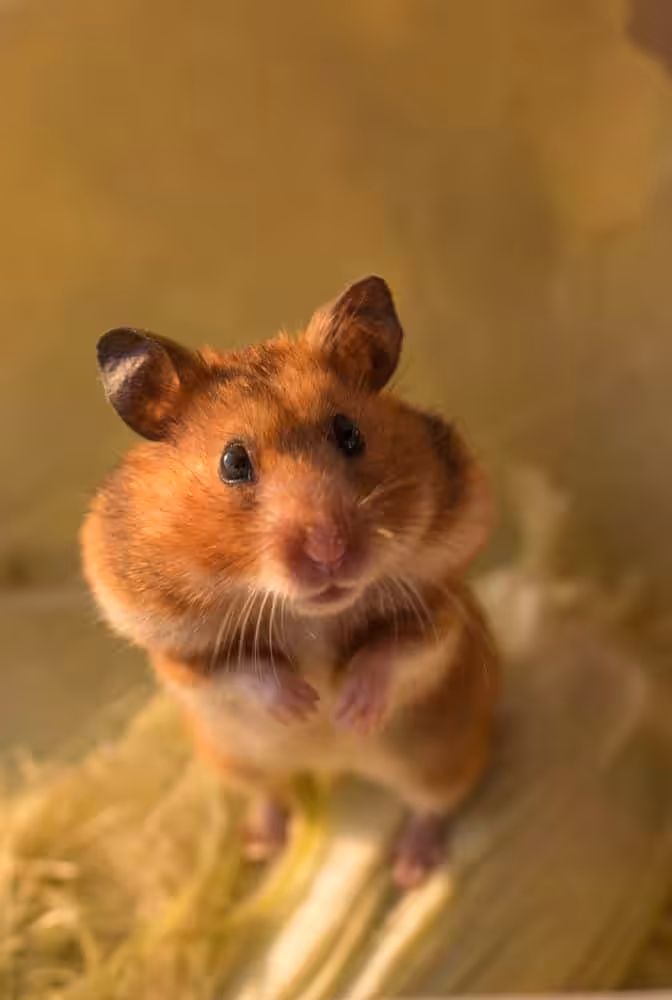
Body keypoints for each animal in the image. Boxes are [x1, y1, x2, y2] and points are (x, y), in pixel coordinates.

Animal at [81, 276, 499, 888]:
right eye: (232, 462)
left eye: (349, 434)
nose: (330, 552)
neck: (306, 613)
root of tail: (331, 770)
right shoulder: (175, 651)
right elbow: (240, 671)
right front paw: (304, 704)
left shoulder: (440, 600)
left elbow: (393, 650)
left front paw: (346, 709)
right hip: (235, 760)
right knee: (271, 794)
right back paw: (261, 841)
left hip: (439, 751)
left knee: (432, 804)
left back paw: (411, 868)